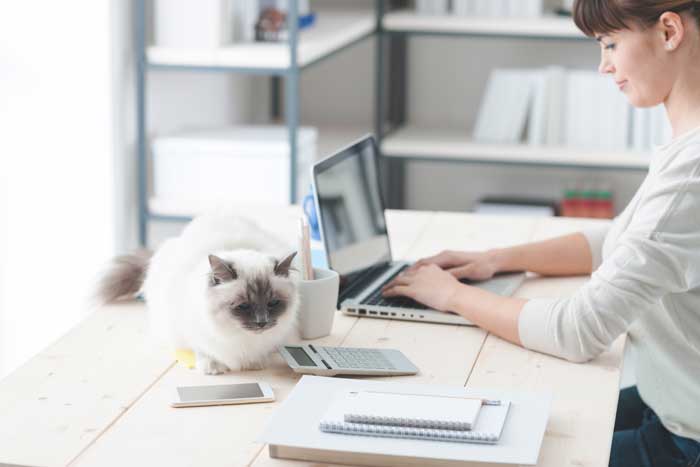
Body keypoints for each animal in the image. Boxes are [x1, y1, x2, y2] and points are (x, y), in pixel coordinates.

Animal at [95, 212, 298, 376]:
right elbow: (204, 350)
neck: (238, 336)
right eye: (243, 306)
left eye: (273, 303)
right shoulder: (191, 328)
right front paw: (212, 367)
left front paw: (255, 362)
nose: (261, 322)